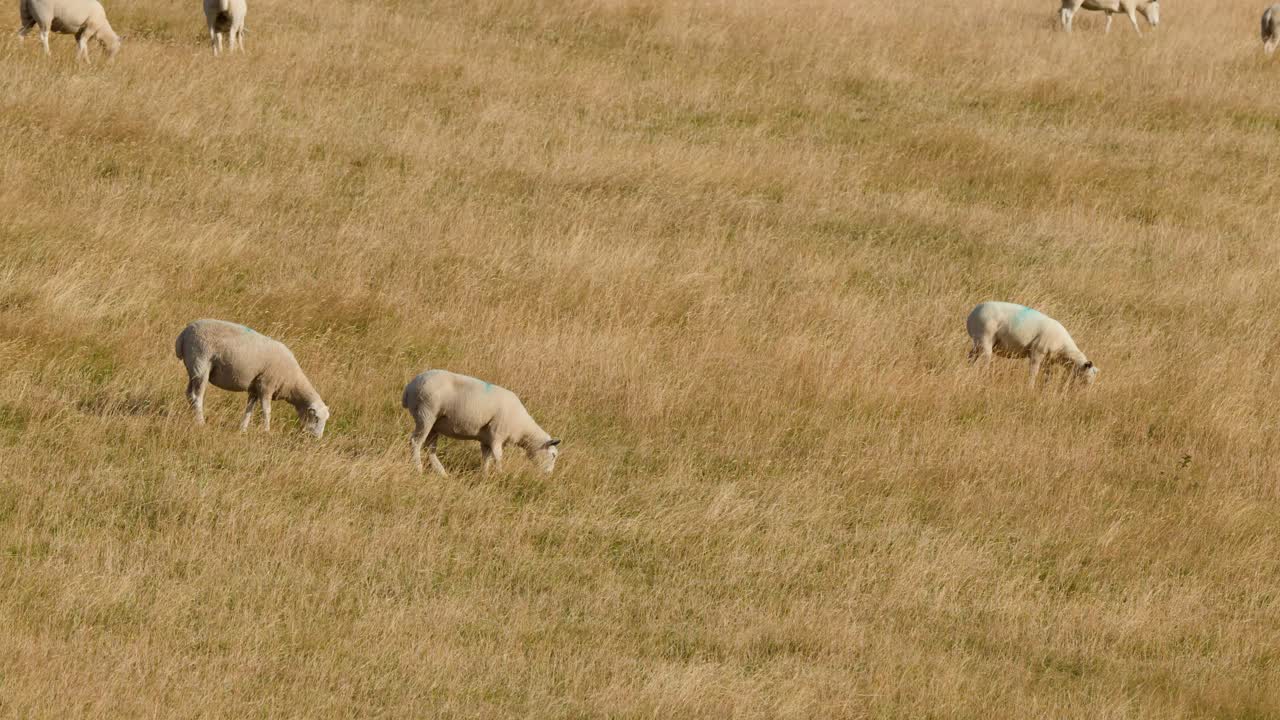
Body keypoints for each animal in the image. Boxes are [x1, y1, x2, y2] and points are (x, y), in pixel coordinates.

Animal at [174, 319, 330, 436]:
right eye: (316, 418)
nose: (317, 438)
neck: (292, 383)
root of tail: (184, 334)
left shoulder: (255, 388)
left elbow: (249, 409)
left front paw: (243, 429)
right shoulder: (266, 386)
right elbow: (266, 411)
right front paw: (266, 431)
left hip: (192, 368)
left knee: (189, 394)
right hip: (201, 363)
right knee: (197, 397)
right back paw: (200, 422)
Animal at [402, 369, 560, 476]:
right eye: (553, 455)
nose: (548, 474)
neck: (522, 428)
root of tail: (409, 386)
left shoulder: (486, 439)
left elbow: (486, 458)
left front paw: (484, 476)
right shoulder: (497, 435)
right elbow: (498, 457)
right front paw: (500, 475)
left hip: (435, 424)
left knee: (430, 448)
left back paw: (442, 473)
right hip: (426, 414)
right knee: (415, 442)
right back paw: (418, 468)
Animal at [967, 301, 1099, 387]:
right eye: (1087, 377)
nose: (1083, 392)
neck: (1064, 349)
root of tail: (972, 314)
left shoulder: (1048, 361)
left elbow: (1048, 376)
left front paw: (1045, 389)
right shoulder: (1037, 353)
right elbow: (1033, 373)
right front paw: (1030, 388)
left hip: (978, 341)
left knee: (971, 355)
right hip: (985, 337)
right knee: (985, 361)